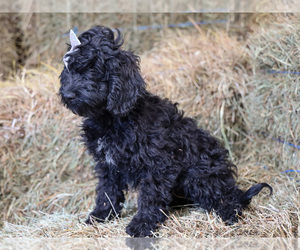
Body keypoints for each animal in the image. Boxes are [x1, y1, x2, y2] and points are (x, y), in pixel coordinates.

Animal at [58, 26, 272, 237]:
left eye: (93, 69)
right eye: (70, 69)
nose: (67, 95)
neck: (112, 119)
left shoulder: (158, 164)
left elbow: (150, 196)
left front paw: (142, 224)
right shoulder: (107, 164)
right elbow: (107, 191)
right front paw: (101, 215)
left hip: (198, 174)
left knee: (227, 199)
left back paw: (229, 215)